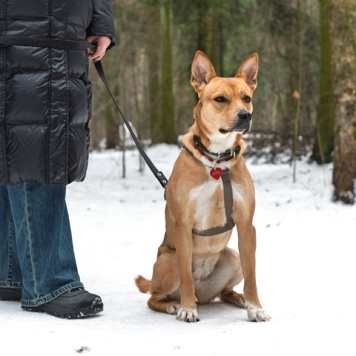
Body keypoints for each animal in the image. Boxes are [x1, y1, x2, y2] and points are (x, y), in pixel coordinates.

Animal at [136, 50, 270, 322]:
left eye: (246, 98)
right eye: (220, 99)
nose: (245, 115)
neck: (217, 160)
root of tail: (204, 292)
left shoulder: (246, 226)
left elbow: (252, 276)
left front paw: (255, 308)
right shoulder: (183, 225)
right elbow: (186, 277)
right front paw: (188, 309)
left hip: (233, 257)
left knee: (225, 291)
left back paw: (237, 298)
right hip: (169, 261)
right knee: (154, 296)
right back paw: (173, 305)